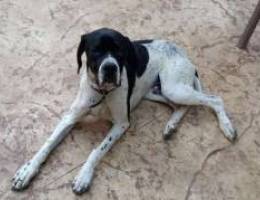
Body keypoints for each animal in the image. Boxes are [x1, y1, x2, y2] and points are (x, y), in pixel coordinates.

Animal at [11, 27, 237, 195]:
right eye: (96, 50)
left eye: (119, 51)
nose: (110, 68)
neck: (102, 93)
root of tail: (184, 55)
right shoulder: (70, 118)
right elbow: (47, 144)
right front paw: (27, 171)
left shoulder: (122, 123)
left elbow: (97, 150)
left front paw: (83, 176)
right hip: (157, 91)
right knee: (182, 106)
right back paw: (171, 126)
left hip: (174, 88)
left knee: (214, 99)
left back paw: (227, 128)